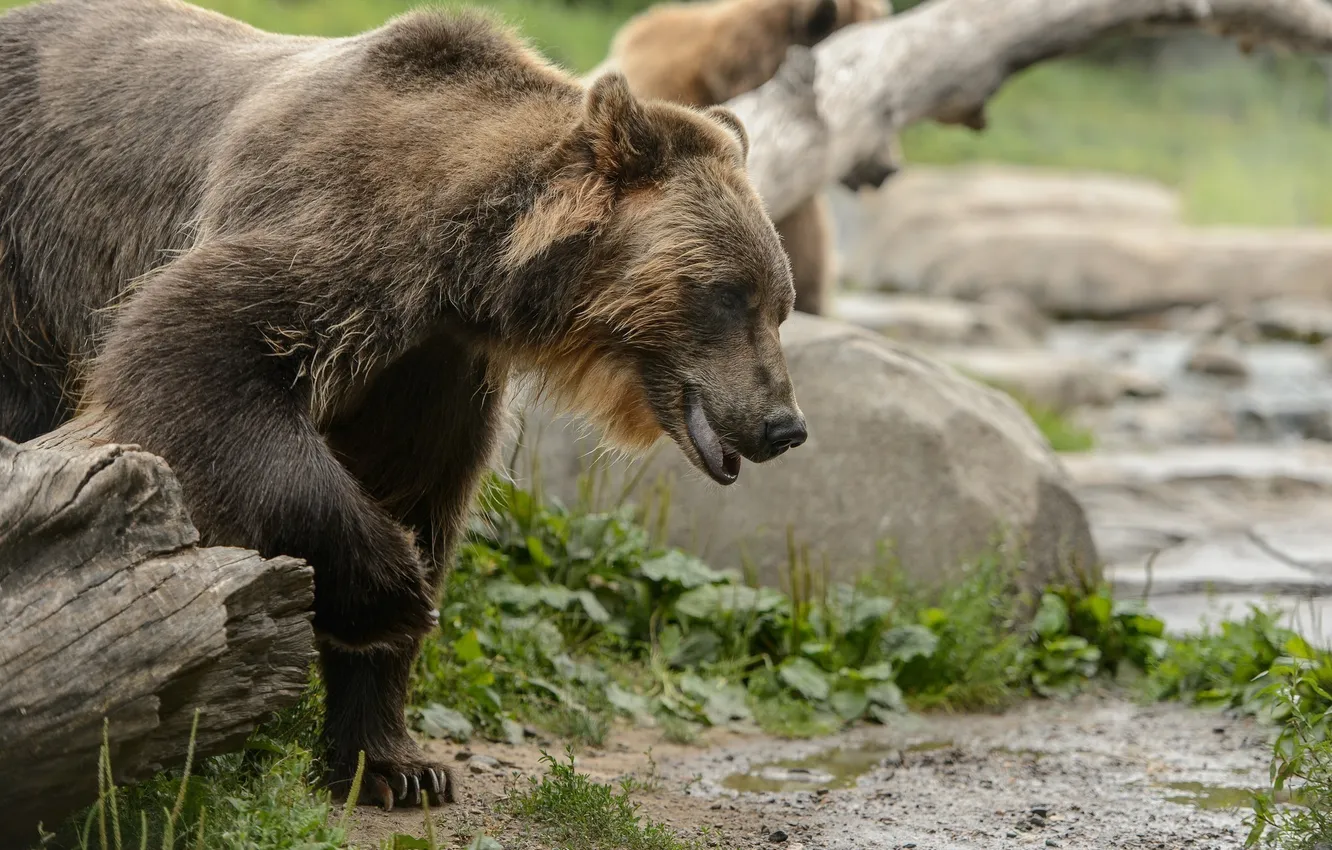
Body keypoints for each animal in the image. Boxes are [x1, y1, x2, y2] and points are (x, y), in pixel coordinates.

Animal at [0, 0, 808, 810]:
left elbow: (416, 491)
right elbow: (191, 349)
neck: (468, 270)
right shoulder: (338, 234)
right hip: (24, 260)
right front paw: (394, 593)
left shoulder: (427, 372)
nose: (784, 424)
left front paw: (394, 762)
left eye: (780, 303)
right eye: (729, 294)